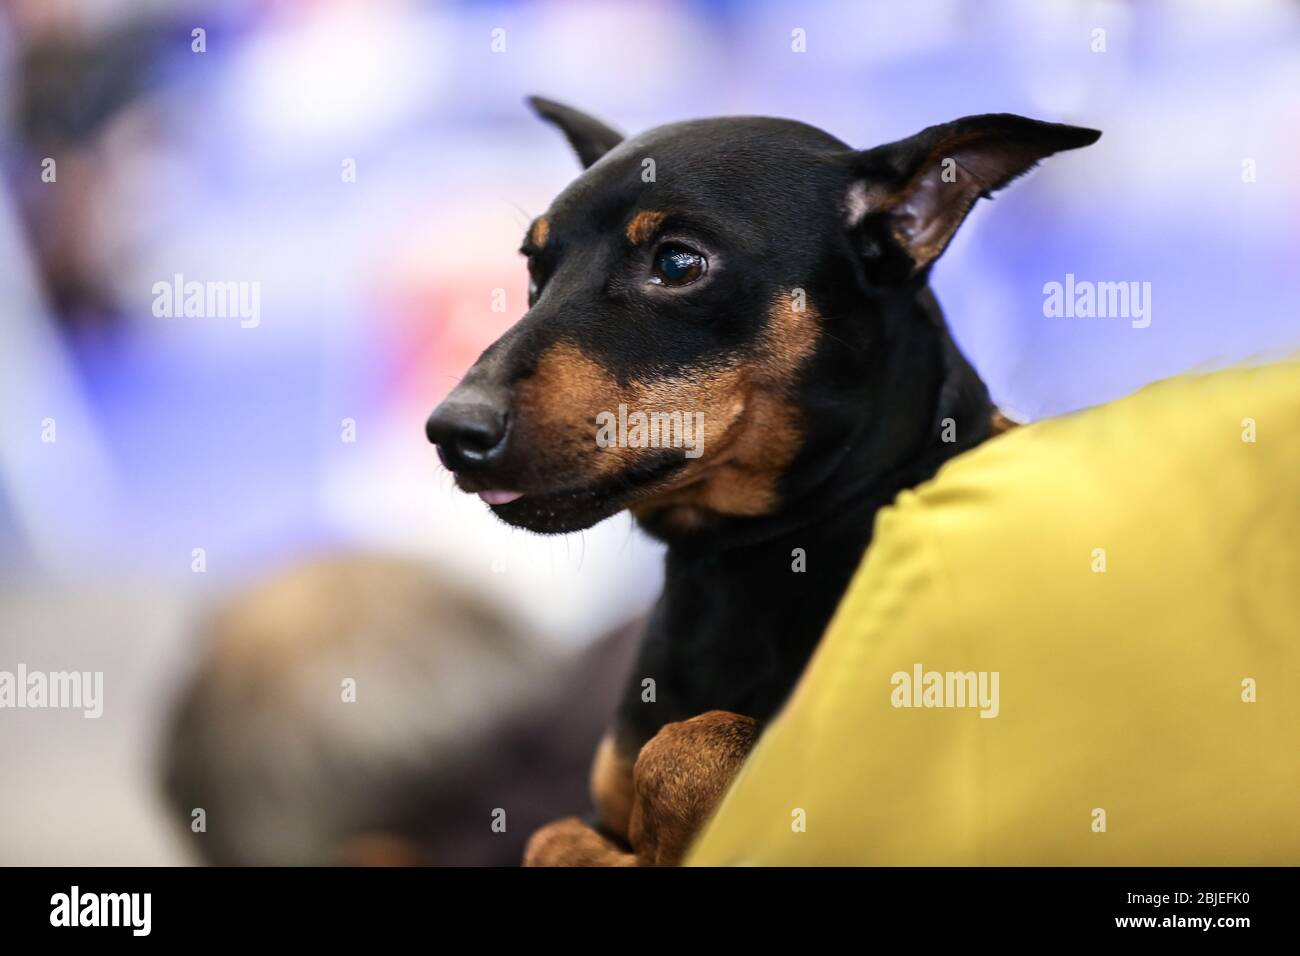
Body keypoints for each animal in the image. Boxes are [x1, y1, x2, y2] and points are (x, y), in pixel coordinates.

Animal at [426, 97, 1097, 868]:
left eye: (678, 262)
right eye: (536, 270)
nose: (452, 431)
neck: (748, 560)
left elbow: (695, 745)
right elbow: (556, 831)